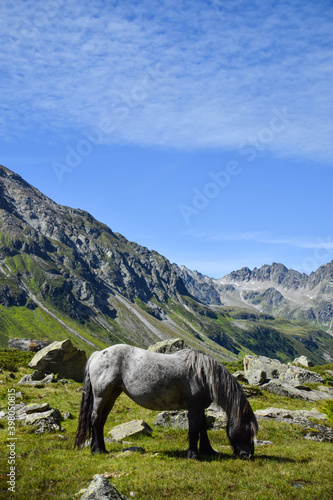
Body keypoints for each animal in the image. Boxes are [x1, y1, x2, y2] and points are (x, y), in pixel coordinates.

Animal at [75, 346, 256, 458]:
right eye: (247, 430)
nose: (248, 455)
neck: (204, 375)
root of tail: (98, 354)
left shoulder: (200, 408)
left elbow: (202, 428)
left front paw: (208, 450)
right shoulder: (194, 407)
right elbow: (194, 430)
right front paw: (193, 455)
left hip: (112, 395)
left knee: (101, 421)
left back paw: (100, 449)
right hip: (101, 395)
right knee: (95, 419)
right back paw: (98, 450)